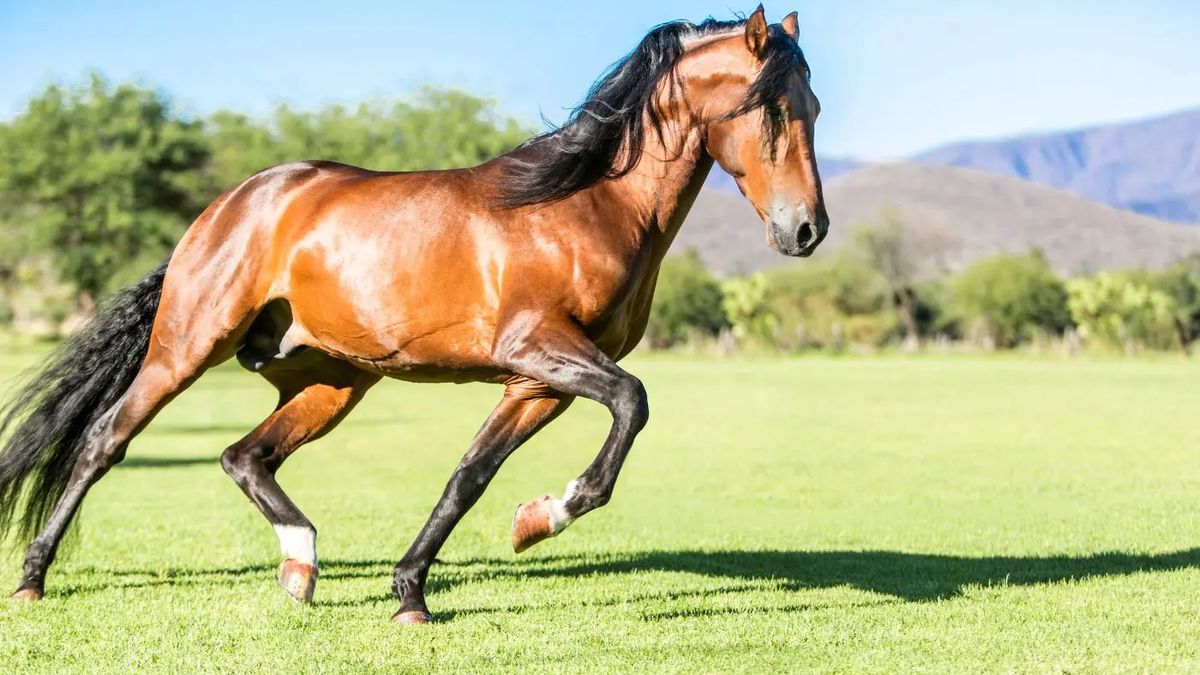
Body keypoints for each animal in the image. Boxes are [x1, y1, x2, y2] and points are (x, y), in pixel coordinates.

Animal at [0, 6, 826, 623]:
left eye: (813, 107)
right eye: (772, 107)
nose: (806, 230)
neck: (587, 202)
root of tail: (230, 206)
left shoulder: (536, 383)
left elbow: (470, 475)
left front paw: (419, 588)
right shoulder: (539, 347)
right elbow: (632, 402)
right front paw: (543, 515)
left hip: (333, 381)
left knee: (245, 455)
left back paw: (301, 564)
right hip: (186, 348)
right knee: (105, 441)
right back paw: (34, 577)